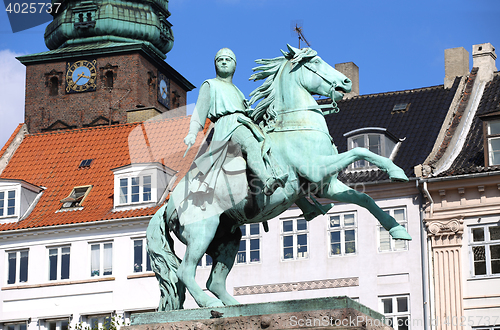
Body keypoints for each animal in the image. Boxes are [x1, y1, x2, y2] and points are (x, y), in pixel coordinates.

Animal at [146, 45, 412, 310]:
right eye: (314, 62)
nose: (345, 82)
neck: (296, 125)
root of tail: (168, 205)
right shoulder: (319, 169)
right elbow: (361, 151)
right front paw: (396, 171)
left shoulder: (326, 185)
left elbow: (365, 198)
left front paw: (398, 229)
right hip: (203, 232)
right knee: (185, 272)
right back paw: (211, 304)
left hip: (228, 237)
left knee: (215, 281)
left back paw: (235, 306)